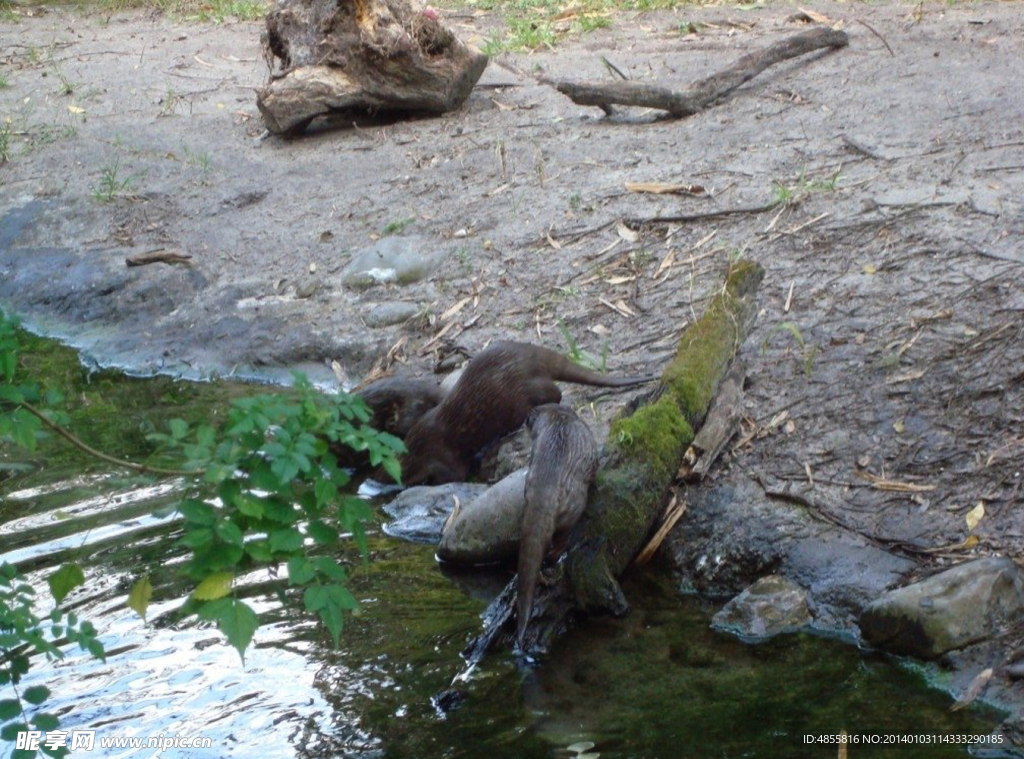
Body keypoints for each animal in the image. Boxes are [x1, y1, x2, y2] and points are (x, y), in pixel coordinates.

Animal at [397, 338, 647, 483]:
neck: (419, 449)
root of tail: (535, 356)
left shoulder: (443, 455)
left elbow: (456, 475)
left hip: (523, 390)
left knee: (554, 393)